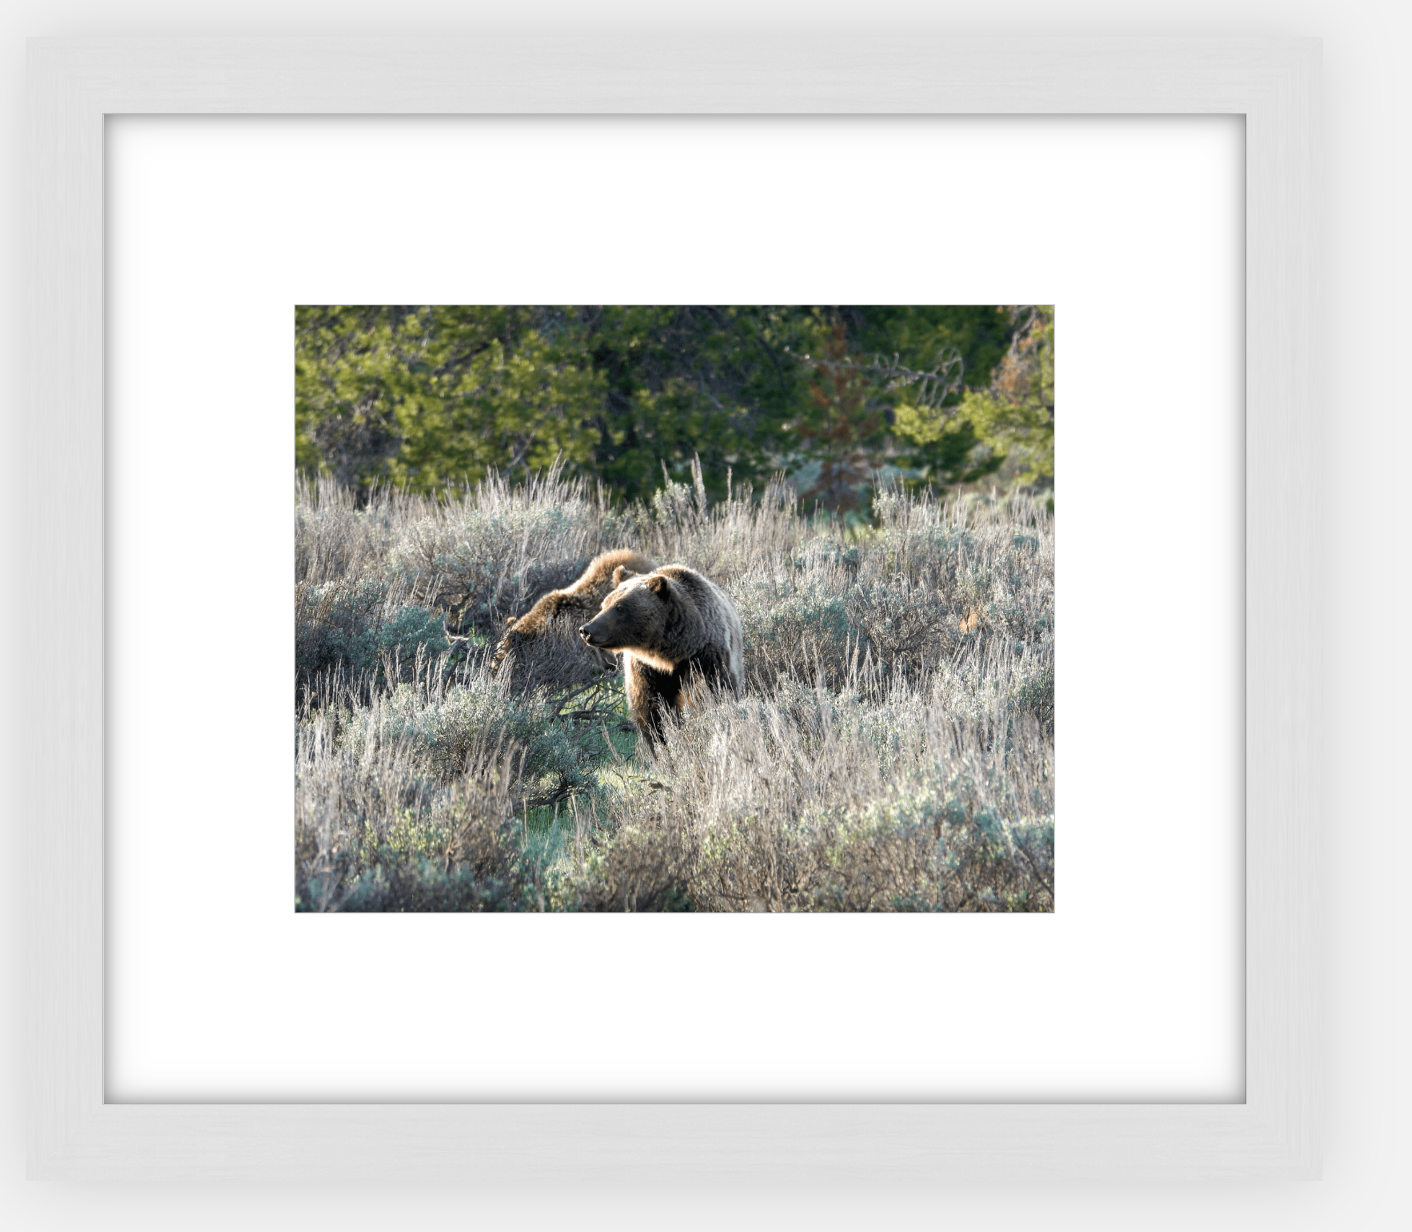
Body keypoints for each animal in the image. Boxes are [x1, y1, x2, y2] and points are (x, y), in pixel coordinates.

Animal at [576, 558, 745, 750]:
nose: (586, 630)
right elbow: (650, 709)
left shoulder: (704, 657)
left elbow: (712, 692)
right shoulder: (645, 668)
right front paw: (658, 743)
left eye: (620, 608)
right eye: (605, 604)